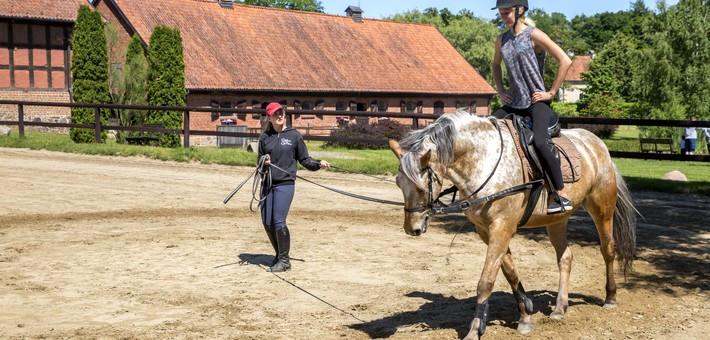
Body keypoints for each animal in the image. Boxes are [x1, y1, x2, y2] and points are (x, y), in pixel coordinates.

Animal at [390, 111, 640, 338]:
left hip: (602, 209)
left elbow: (486, 281)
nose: (412, 228)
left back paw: (610, 298)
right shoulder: (486, 230)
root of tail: (597, 144)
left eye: (420, 188)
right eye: (398, 183)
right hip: (556, 221)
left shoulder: (502, 228)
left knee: (608, 250)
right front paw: (526, 316)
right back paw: (560, 308)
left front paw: (474, 330)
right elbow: (510, 273)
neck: (484, 161)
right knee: (565, 257)